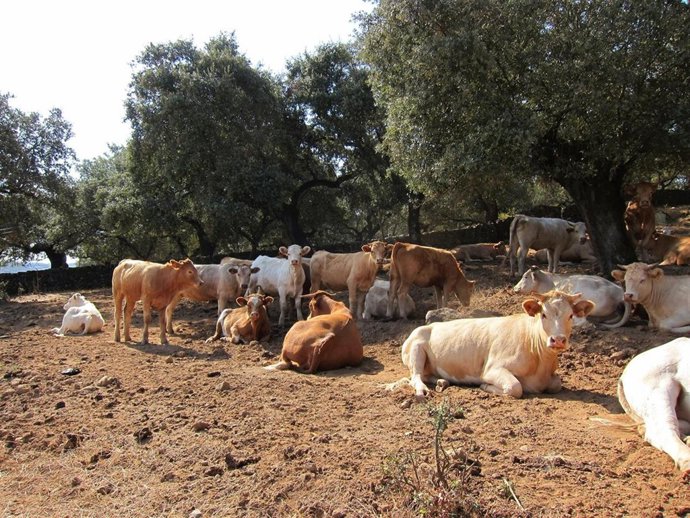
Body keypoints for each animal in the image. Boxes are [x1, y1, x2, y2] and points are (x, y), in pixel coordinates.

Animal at [390, 291, 594, 398]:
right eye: (543, 314)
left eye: (571, 315)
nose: (558, 340)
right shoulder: (492, 369)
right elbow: (515, 387)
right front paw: (485, 387)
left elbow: (557, 383)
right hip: (416, 349)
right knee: (415, 376)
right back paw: (422, 390)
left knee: (425, 375)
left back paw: (442, 381)